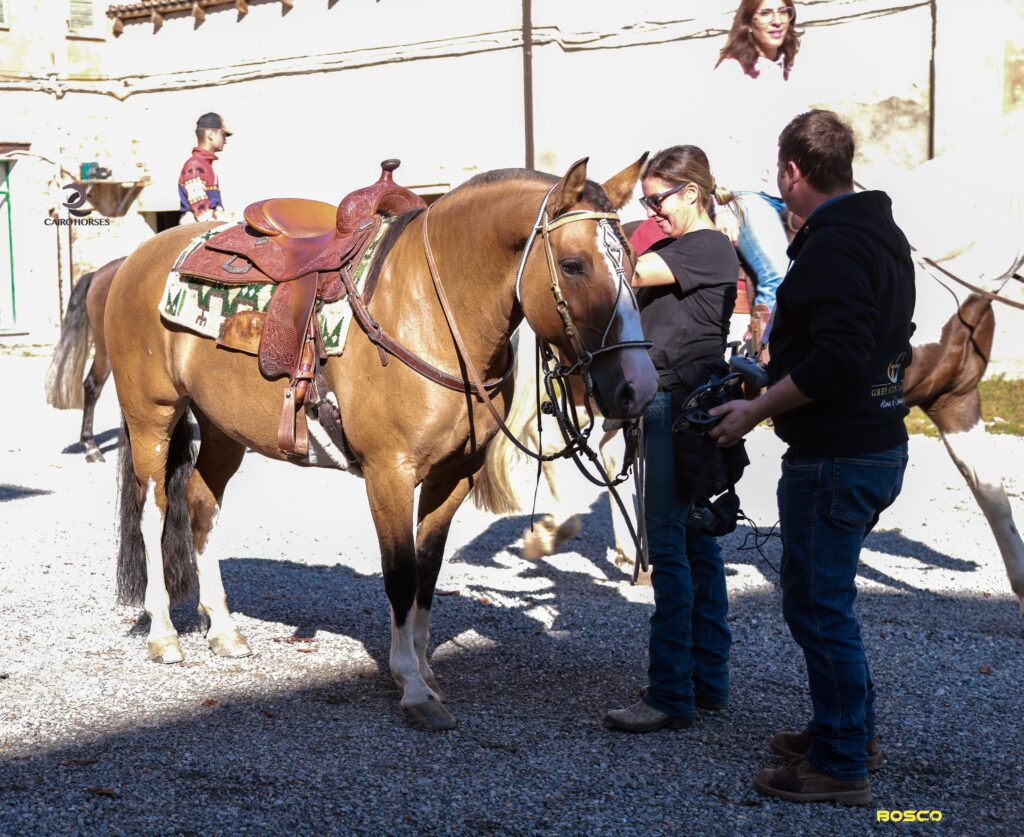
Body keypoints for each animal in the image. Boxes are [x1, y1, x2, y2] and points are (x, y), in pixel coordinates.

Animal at [104, 158, 659, 731]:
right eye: (573, 265)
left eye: (634, 260)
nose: (638, 387)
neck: (433, 311)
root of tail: (138, 257)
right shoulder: (388, 472)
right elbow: (400, 573)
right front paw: (411, 684)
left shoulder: (454, 475)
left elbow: (428, 570)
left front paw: (426, 669)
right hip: (153, 416)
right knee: (153, 512)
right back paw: (164, 634)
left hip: (221, 427)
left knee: (201, 505)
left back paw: (223, 628)